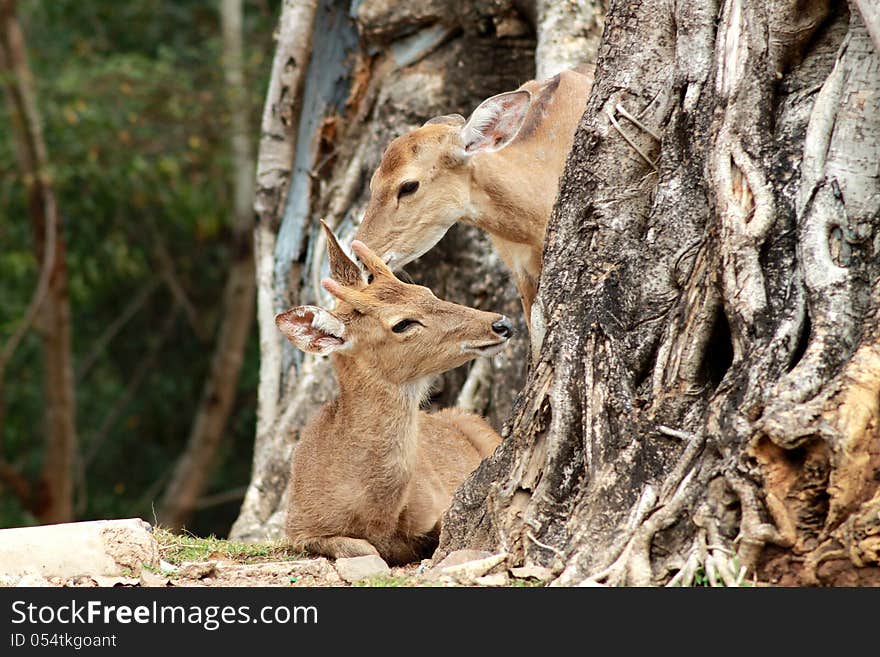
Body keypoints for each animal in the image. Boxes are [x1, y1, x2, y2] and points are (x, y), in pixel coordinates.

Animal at [276, 220, 508, 564]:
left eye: (426, 291)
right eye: (402, 323)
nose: (501, 323)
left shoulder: (438, 502)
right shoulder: (297, 527)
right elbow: (359, 548)